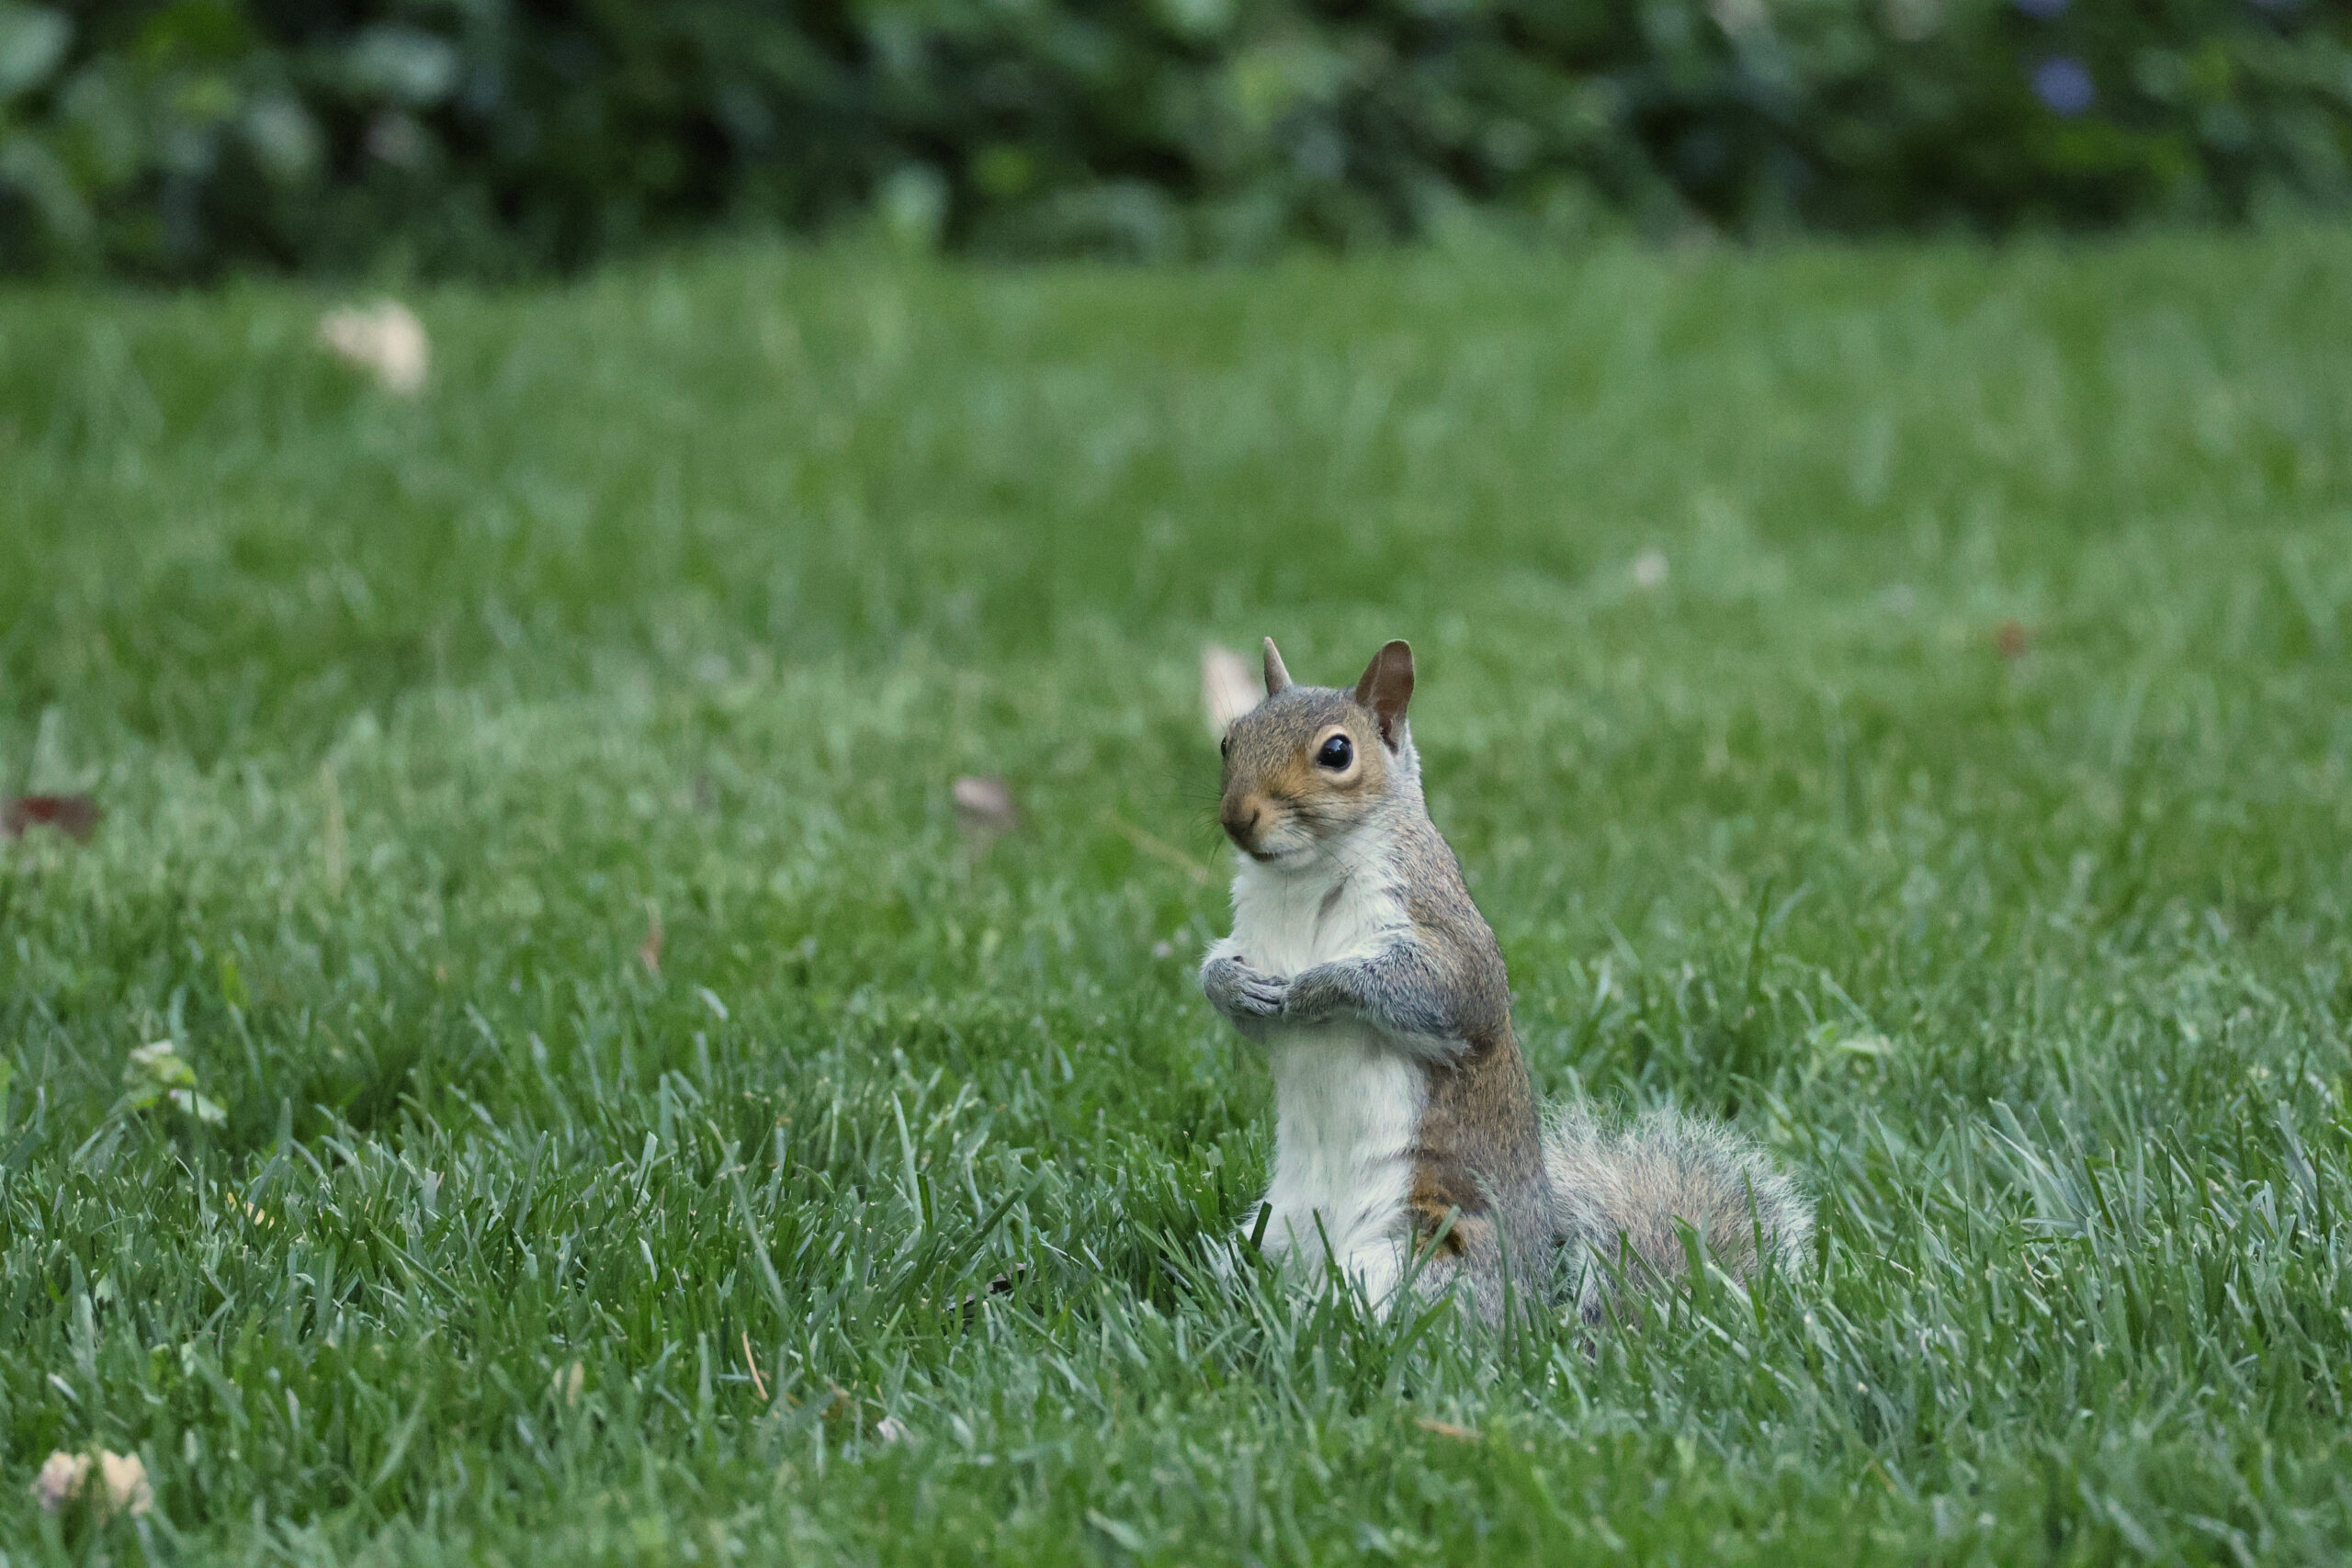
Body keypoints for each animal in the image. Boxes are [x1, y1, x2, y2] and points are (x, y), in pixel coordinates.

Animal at [1199, 637, 1812, 1324]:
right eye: (1228, 740)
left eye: (1337, 752)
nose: (1237, 817)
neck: (1299, 880)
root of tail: (1533, 1312)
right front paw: (1230, 984)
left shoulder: (1443, 935)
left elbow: (1444, 993)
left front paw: (1317, 987)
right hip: (1259, 1241)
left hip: (1415, 1256)